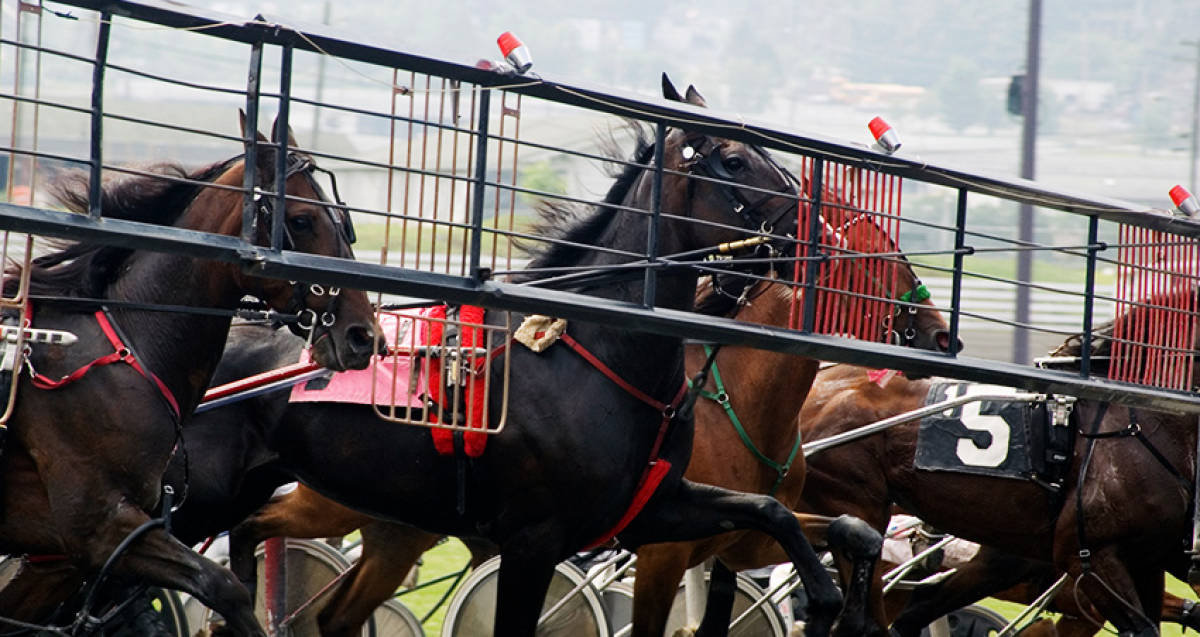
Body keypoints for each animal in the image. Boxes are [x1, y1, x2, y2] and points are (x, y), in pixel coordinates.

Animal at [0, 115, 376, 637]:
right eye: (302, 220)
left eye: (343, 220)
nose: (363, 335)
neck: (125, 346)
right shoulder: (98, 526)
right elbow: (223, 586)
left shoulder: (60, 546)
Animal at [199, 76, 864, 637]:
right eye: (734, 160)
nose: (823, 238)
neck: (598, 354)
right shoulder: (534, 542)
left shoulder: (651, 511)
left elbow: (774, 511)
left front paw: (830, 600)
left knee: (276, 558)